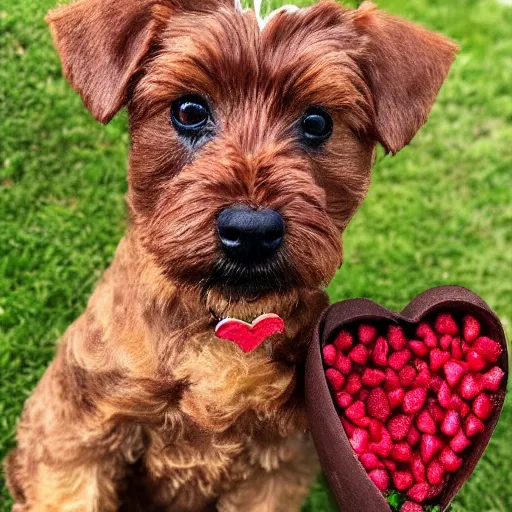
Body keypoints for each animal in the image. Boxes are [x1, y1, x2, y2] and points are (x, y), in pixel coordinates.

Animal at [5, 2, 456, 510]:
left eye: (317, 122)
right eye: (189, 111)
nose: (251, 231)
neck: (220, 320)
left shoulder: (278, 464)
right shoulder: (76, 435)